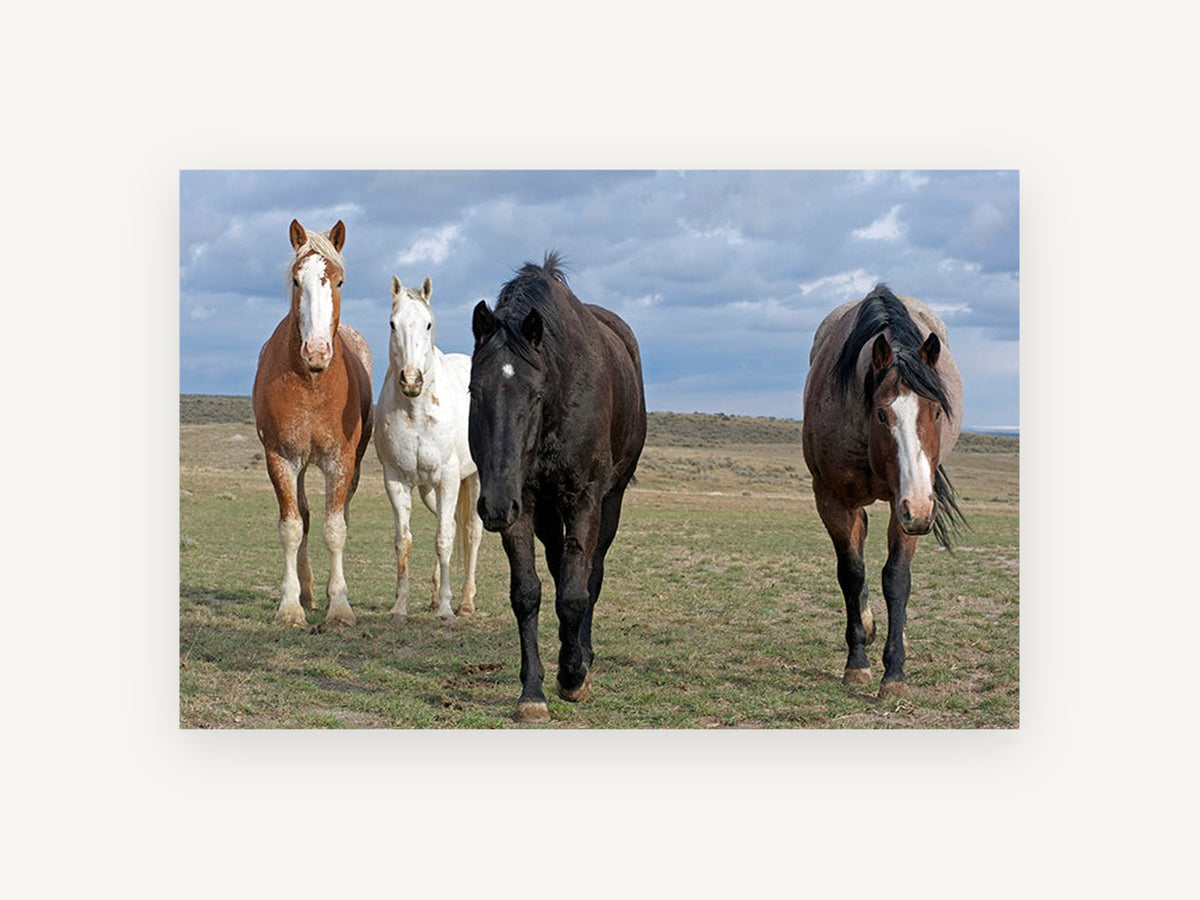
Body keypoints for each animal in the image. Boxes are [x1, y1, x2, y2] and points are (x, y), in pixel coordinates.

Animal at [252, 219, 374, 628]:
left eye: (339, 281)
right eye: (295, 280)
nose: (316, 351)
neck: (311, 382)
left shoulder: (341, 461)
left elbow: (335, 529)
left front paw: (340, 607)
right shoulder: (281, 458)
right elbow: (291, 527)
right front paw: (290, 606)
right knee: (303, 515)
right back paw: (306, 592)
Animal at [374, 274, 483, 621]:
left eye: (428, 324)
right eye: (392, 324)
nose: (411, 379)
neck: (416, 412)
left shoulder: (448, 478)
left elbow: (445, 540)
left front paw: (447, 610)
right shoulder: (395, 480)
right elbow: (404, 542)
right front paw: (399, 606)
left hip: (473, 479)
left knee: (471, 531)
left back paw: (465, 601)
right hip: (427, 491)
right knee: (449, 523)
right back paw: (435, 596)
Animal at [469, 252, 646, 723]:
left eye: (535, 394)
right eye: (474, 390)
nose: (493, 506)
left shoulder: (585, 499)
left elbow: (574, 594)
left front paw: (572, 676)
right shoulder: (522, 503)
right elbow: (528, 592)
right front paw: (532, 690)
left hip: (610, 502)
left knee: (591, 574)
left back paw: (584, 655)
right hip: (545, 512)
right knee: (558, 565)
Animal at [802, 283, 966, 699]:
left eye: (936, 411)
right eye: (881, 413)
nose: (922, 511)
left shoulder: (905, 504)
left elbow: (896, 579)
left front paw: (894, 671)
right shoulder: (832, 498)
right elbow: (852, 573)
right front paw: (857, 662)